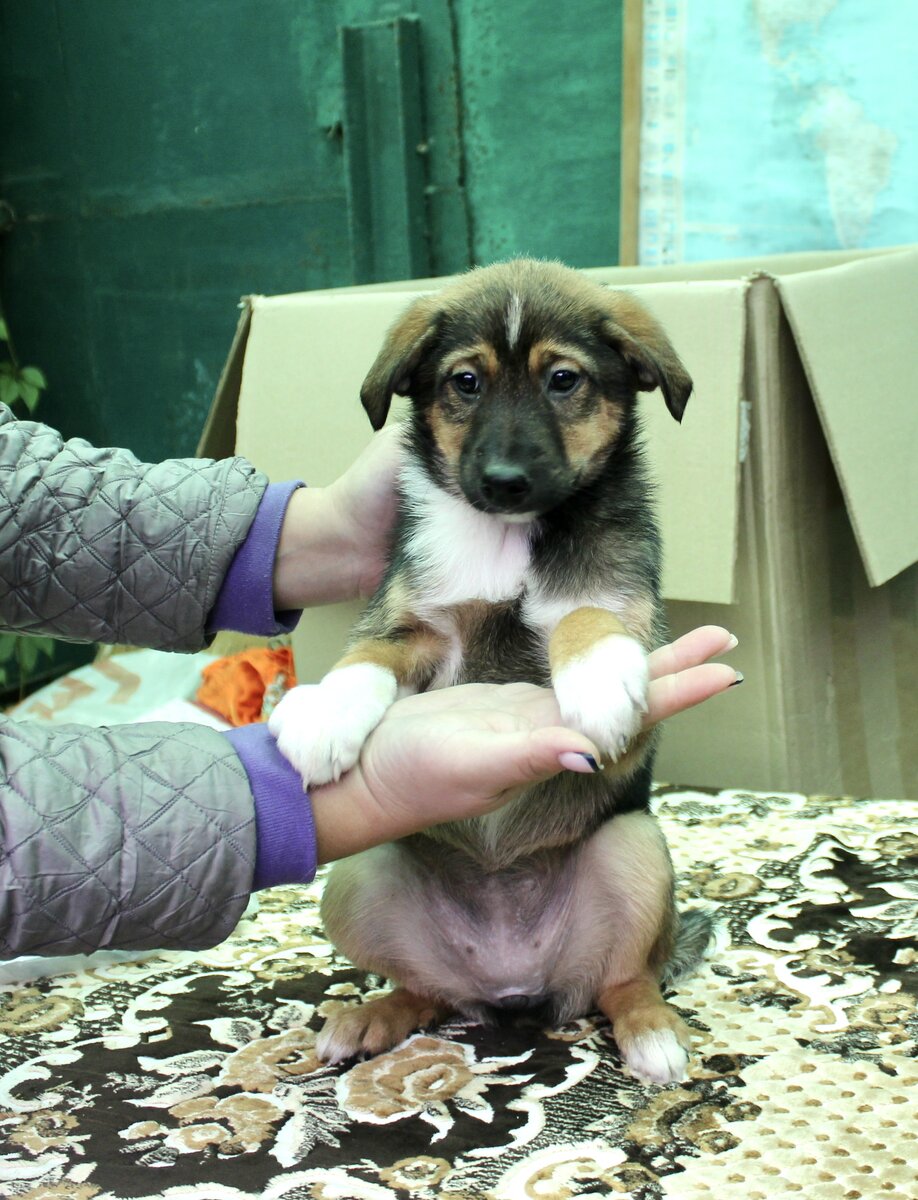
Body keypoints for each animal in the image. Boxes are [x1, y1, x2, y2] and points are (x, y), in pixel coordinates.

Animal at [268, 258, 710, 1084]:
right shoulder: (415, 619)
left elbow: (585, 616)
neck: (508, 538)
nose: (504, 481)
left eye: (563, 380)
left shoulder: (628, 611)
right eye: (465, 382)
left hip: (634, 846)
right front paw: (325, 714)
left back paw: (653, 1035)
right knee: (426, 990)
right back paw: (373, 1017)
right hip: (357, 877)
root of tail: (516, 986)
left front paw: (599, 679)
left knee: (624, 979)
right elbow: (370, 651)